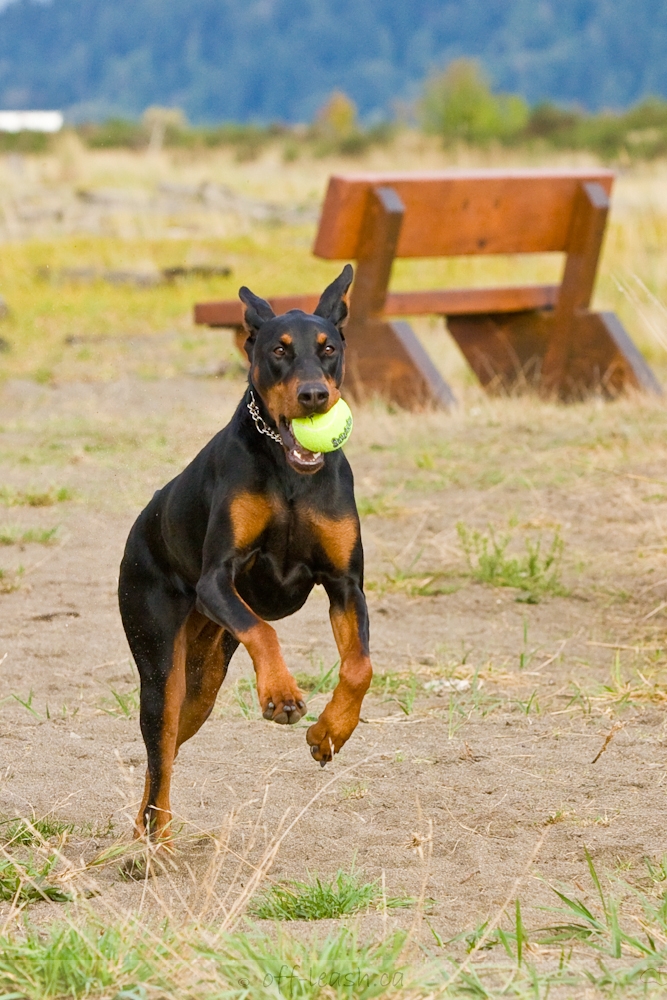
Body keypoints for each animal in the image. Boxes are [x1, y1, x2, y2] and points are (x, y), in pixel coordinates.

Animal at [117, 262, 374, 840]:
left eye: (328, 348)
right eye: (278, 350)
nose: (313, 396)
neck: (290, 474)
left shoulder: (346, 583)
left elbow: (360, 667)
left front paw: (329, 733)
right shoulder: (217, 579)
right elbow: (265, 629)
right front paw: (281, 694)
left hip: (204, 678)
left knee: (165, 753)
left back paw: (145, 830)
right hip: (160, 664)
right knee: (159, 748)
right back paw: (156, 840)